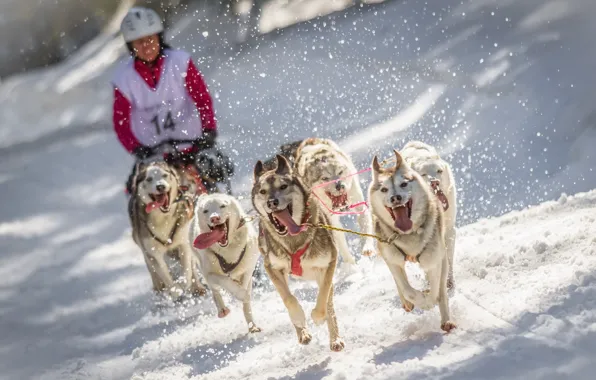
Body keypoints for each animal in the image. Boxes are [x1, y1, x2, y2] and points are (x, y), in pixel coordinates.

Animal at [129, 160, 207, 300]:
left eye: (165, 175)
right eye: (149, 179)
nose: (160, 186)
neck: (162, 219)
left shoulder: (183, 243)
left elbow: (187, 271)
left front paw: (183, 283)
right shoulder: (154, 253)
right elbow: (165, 276)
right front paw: (175, 290)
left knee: (192, 268)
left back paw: (197, 287)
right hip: (146, 253)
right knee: (154, 273)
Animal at [191, 193, 260, 332]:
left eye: (222, 206)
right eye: (206, 211)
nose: (214, 218)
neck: (228, 251)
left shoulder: (249, 266)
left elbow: (245, 285)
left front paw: (243, 294)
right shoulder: (210, 274)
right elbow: (225, 281)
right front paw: (239, 293)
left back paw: (252, 325)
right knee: (215, 291)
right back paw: (222, 309)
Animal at [251, 156, 344, 352]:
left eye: (283, 186)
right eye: (262, 191)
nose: (272, 202)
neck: (293, 239)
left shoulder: (328, 264)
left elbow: (323, 298)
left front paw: (318, 317)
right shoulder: (271, 267)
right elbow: (289, 299)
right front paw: (299, 319)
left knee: (328, 303)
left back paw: (335, 339)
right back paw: (303, 334)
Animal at [398, 141, 458, 290]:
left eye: (439, 171)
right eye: (424, 174)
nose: (435, 182)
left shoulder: (449, 230)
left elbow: (448, 256)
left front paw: (449, 280)